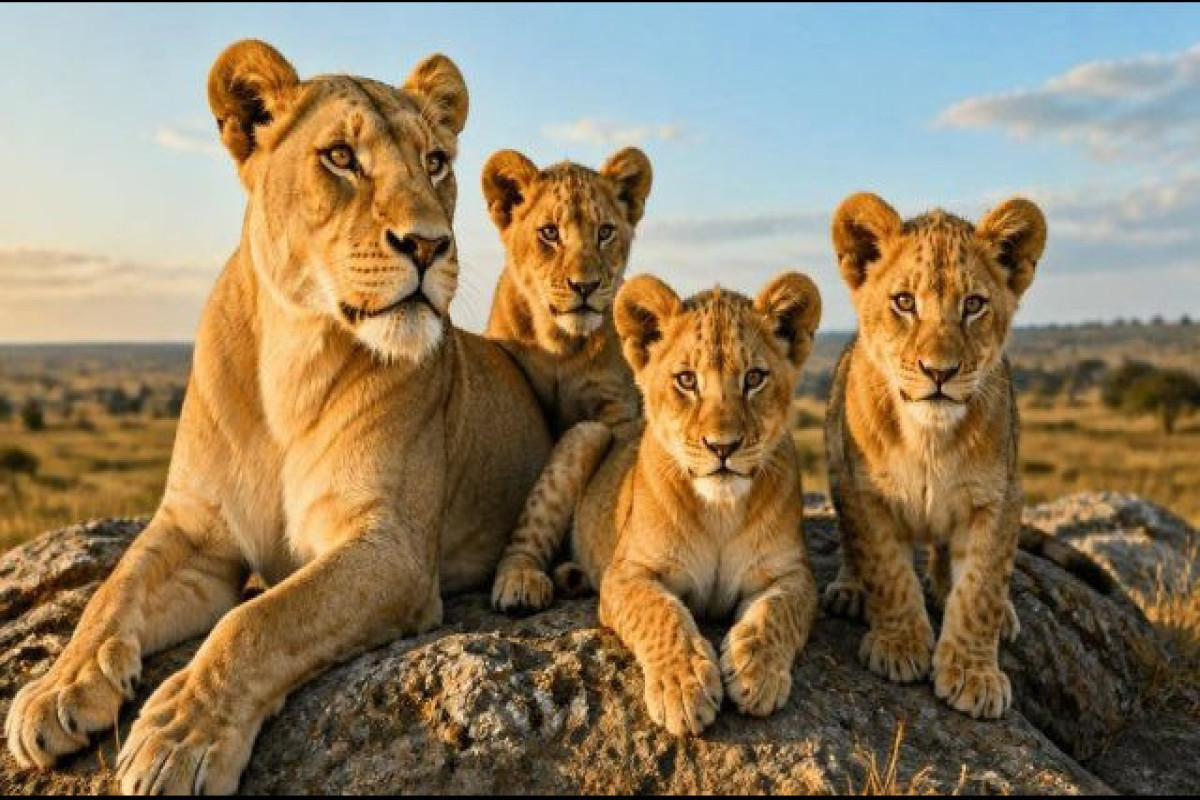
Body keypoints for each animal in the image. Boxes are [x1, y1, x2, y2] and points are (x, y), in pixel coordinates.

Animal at [4, 40, 550, 794]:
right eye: (341, 157)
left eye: (436, 161)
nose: (430, 245)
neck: (292, 361)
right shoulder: (197, 530)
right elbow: (113, 591)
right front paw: (58, 688)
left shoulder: (392, 547)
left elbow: (259, 619)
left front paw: (179, 737)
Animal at [496, 272, 823, 735]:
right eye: (686, 380)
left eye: (754, 378)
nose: (722, 447)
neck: (720, 511)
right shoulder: (628, 572)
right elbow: (659, 613)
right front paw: (684, 686)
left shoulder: (794, 573)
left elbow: (777, 612)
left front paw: (755, 671)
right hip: (587, 434)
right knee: (526, 537)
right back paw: (522, 583)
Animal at [821, 192, 1047, 720]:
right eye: (904, 302)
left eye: (974, 305)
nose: (939, 372)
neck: (929, 437)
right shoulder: (865, 493)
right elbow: (887, 570)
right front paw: (899, 645)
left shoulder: (1000, 497)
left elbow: (981, 586)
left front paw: (974, 673)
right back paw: (849, 590)